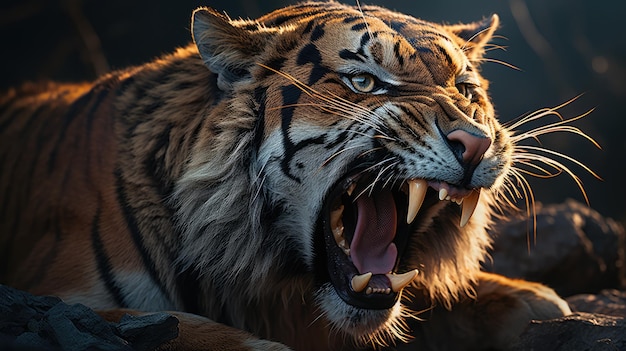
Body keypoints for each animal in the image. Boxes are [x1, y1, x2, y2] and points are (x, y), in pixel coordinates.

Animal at [2, 1, 588, 350]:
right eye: (362, 81)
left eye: (465, 90)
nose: (476, 141)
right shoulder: (66, 296)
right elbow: (192, 332)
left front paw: (536, 303)